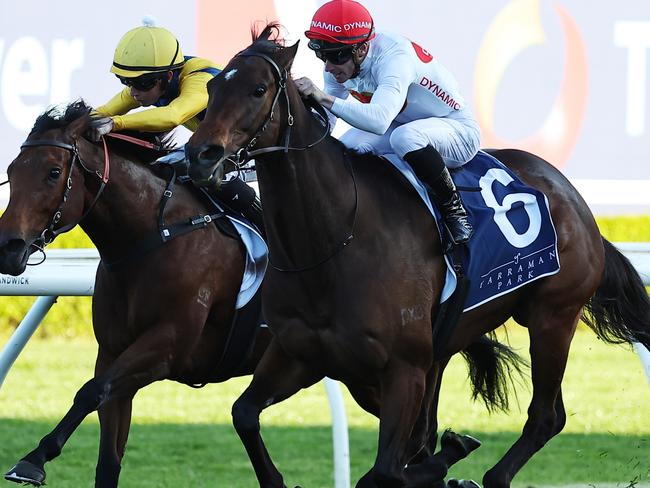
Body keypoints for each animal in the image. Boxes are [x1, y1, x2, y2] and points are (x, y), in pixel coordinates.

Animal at [0, 101, 270, 486]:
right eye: (11, 170)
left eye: (53, 172)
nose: (8, 247)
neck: (154, 236)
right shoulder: (114, 353)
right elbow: (107, 458)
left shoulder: (168, 347)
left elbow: (91, 390)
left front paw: (33, 459)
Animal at [182, 25, 648, 488]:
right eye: (210, 88)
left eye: (258, 89)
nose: (200, 155)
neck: (331, 245)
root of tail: (573, 198)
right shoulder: (299, 353)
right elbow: (244, 414)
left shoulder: (403, 369)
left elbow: (386, 472)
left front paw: (452, 458)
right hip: (447, 347)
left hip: (553, 316)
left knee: (547, 416)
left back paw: (492, 474)